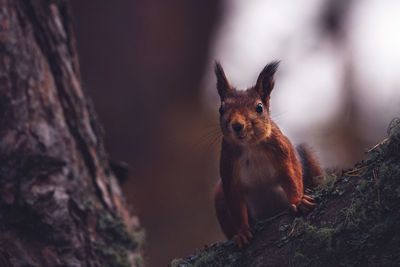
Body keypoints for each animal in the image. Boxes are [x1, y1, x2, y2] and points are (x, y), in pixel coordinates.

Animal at [212, 61, 322, 248]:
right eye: (221, 109)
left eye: (259, 107)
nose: (237, 125)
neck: (250, 145)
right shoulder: (227, 165)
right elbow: (235, 199)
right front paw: (242, 232)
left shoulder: (283, 151)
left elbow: (290, 176)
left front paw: (298, 201)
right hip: (219, 197)